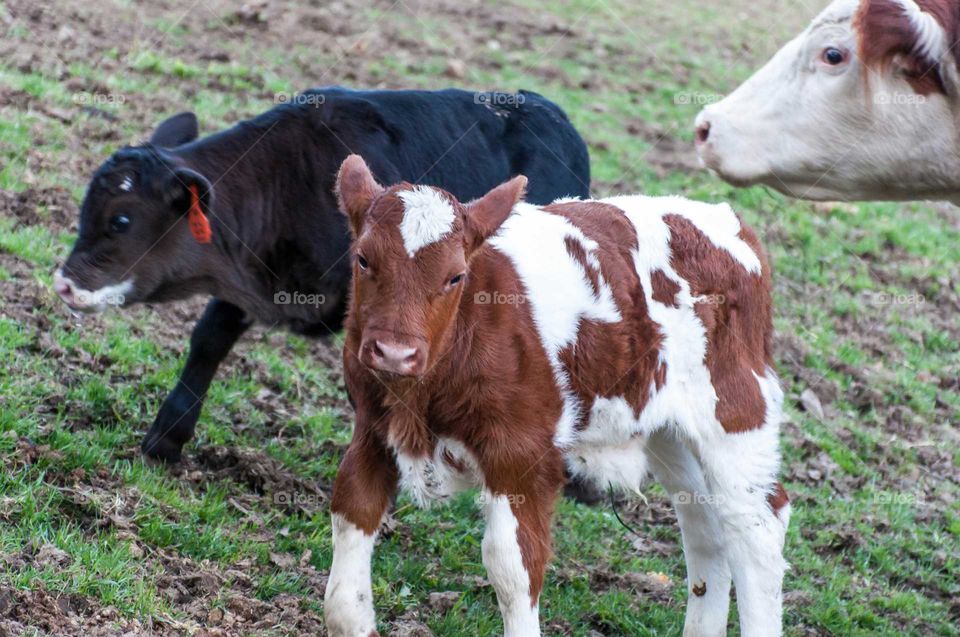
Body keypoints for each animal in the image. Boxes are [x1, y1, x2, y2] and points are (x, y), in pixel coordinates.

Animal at [52, 87, 590, 464]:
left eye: (121, 219)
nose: (64, 283)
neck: (287, 181)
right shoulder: (246, 277)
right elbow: (208, 340)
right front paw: (165, 440)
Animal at [326, 154, 790, 637]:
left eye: (455, 276)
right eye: (363, 259)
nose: (395, 353)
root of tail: (729, 223)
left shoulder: (522, 455)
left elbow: (512, 567)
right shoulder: (372, 429)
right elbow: (348, 529)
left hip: (735, 409)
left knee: (755, 527)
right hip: (666, 426)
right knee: (704, 523)